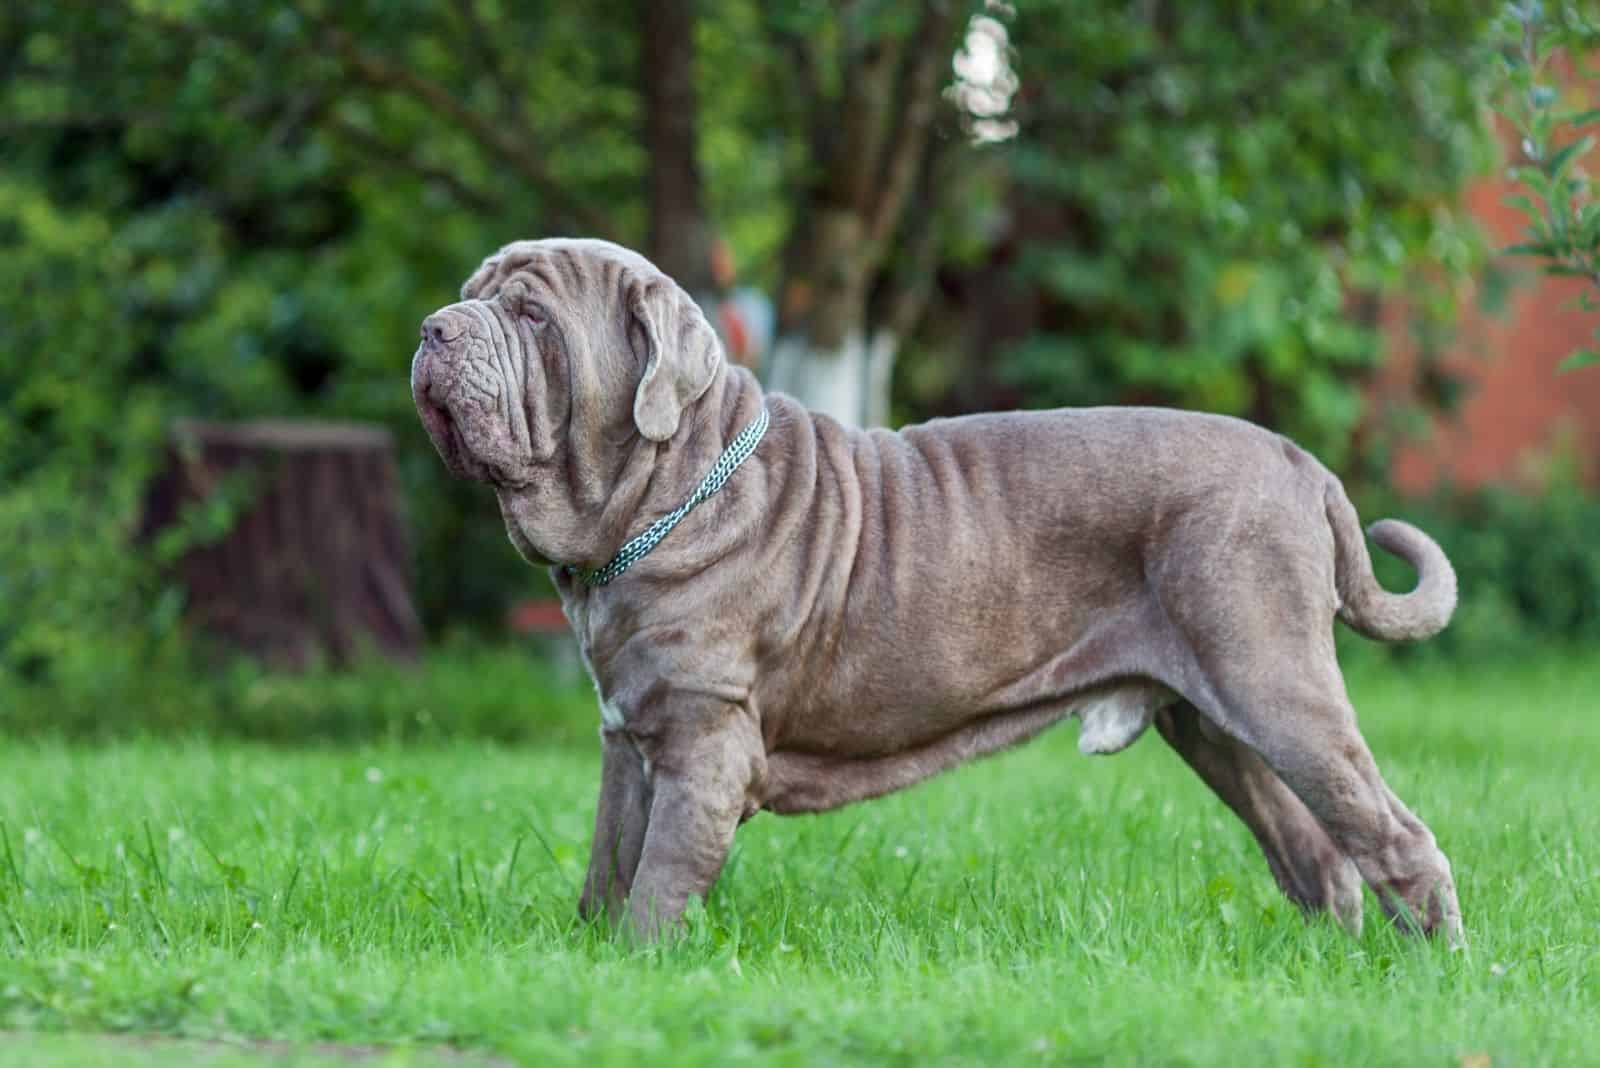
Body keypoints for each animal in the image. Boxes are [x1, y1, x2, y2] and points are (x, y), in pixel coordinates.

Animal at [412, 235, 1465, 940]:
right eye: (472, 295)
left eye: (534, 316)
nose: (431, 327)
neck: (667, 493)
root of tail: (1304, 466)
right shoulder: (629, 736)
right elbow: (608, 865)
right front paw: (586, 957)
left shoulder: (703, 744)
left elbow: (657, 886)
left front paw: (640, 967)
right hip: (1214, 723)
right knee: (1314, 850)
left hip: (1274, 684)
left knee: (1396, 834)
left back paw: (1438, 967)